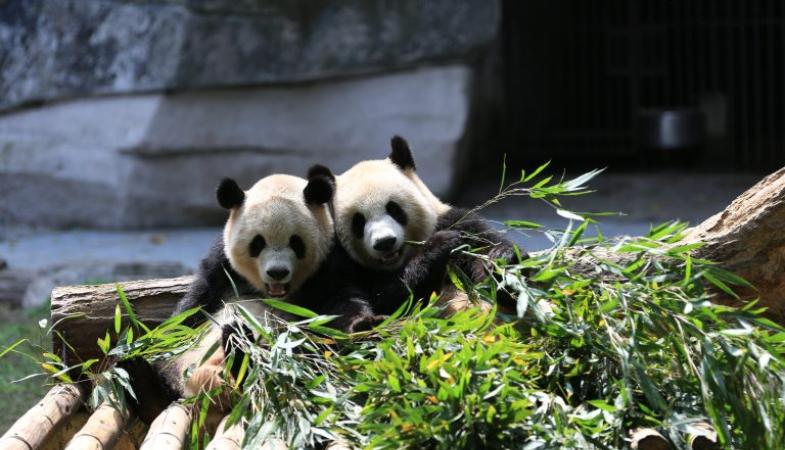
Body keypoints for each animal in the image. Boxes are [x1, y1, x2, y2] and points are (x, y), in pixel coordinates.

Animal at [313, 135, 525, 316]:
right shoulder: (339, 262)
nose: (384, 242)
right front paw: (441, 244)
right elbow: (384, 299)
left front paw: (501, 261)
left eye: (394, 209)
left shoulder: (459, 223)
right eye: (358, 221)